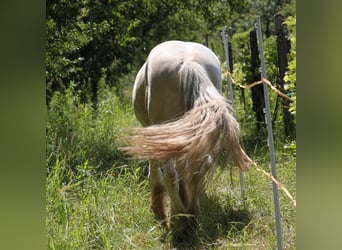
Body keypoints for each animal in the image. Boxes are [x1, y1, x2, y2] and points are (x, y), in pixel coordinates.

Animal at [121, 40, 252, 242]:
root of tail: (190, 62)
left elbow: (156, 173)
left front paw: (158, 209)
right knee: (196, 168)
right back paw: (191, 216)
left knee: (170, 175)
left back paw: (179, 222)